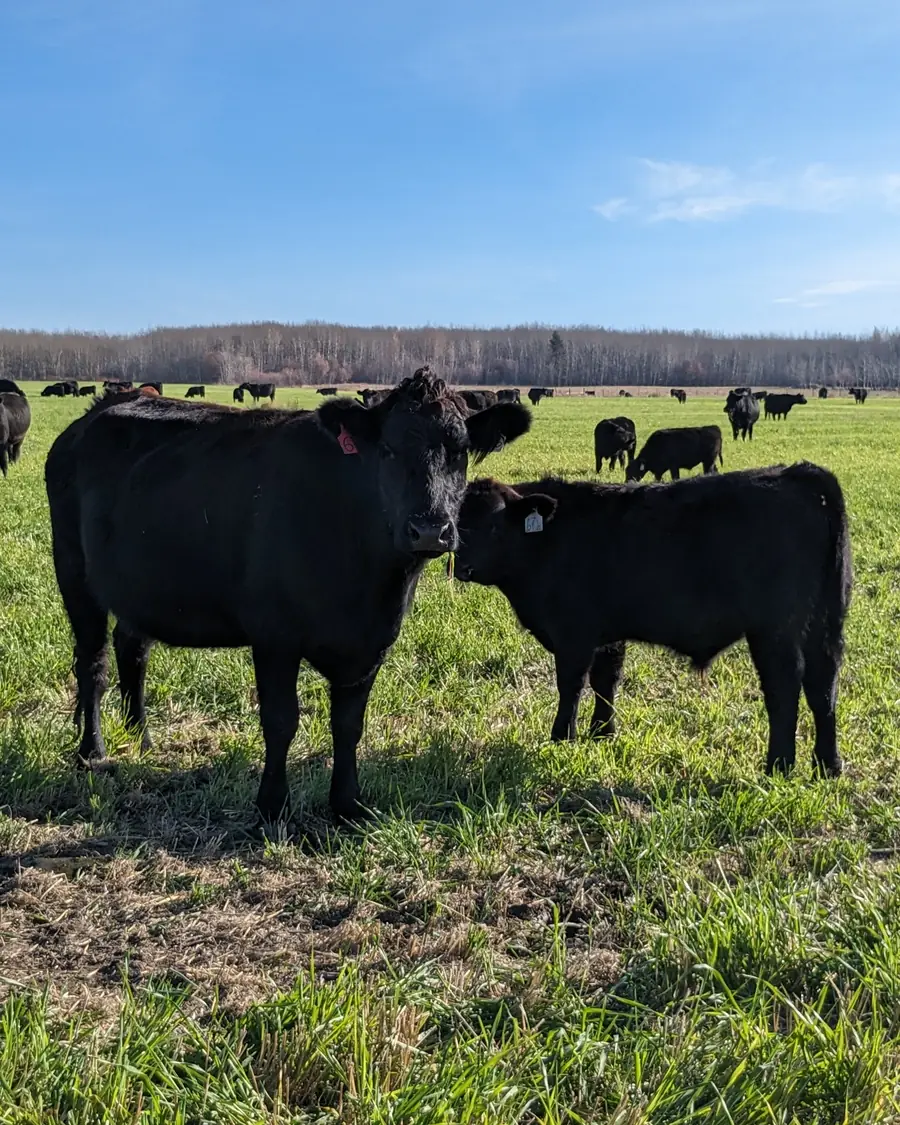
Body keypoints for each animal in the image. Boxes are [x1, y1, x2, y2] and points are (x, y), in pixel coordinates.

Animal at [44, 369, 531, 826]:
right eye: (389, 450)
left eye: (460, 451)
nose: (429, 529)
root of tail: (97, 410)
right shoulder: (274, 636)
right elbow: (281, 721)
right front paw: (272, 806)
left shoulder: (374, 640)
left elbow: (348, 725)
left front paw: (347, 805)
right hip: (73, 572)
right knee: (93, 663)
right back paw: (92, 751)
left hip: (137, 585)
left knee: (133, 651)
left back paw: (141, 738)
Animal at [454, 464, 851, 779]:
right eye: (457, 523)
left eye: (493, 526)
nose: (460, 566)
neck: (550, 540)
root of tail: (798, 474)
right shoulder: (607, 634)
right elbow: (606, 680)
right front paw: (602, 733)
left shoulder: (573, 635)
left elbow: (571, 686)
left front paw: (561, 737)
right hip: (825, 622)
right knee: (823, 686)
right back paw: (828, 765)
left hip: (775, 631)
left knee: (785, 688)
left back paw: (778, 766)